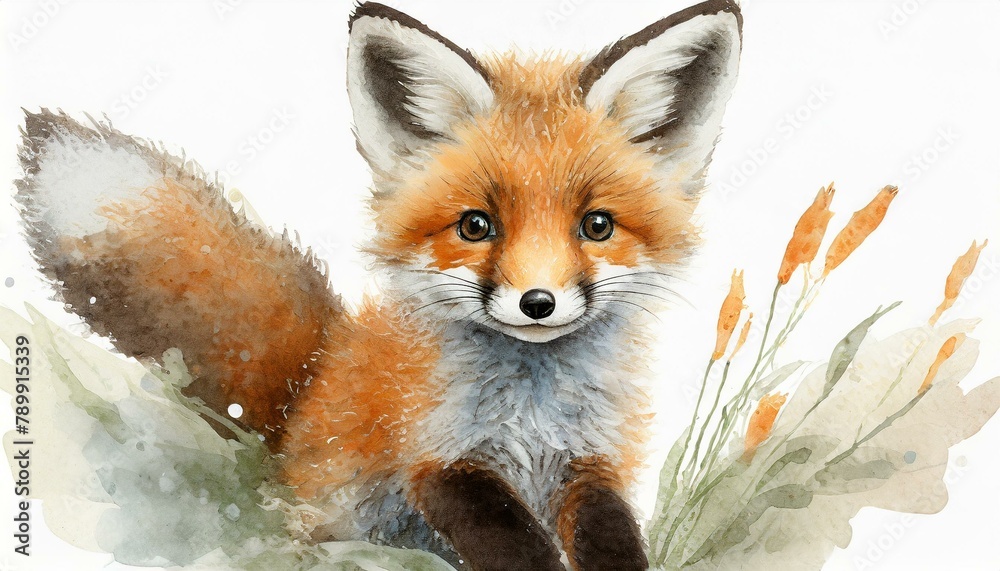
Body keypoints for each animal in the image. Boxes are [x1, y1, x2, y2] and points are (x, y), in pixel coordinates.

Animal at [14, 1, 741, 569]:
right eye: (475, 225)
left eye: (597, 225)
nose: (538, 302)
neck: (532, 409)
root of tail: (312, 383)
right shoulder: (437, 458)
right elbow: (513, 542)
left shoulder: (592, 461)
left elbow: (610, 536)